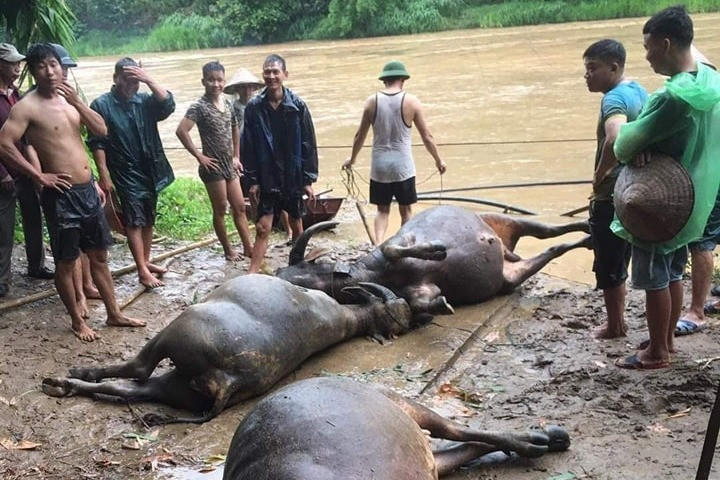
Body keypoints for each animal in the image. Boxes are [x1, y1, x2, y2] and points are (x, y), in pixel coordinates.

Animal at [40, 274, 410, 424]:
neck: (344, 317)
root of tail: (228, 380)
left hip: (175, 331)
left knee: (138, 369)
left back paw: (66, 378)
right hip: (176, 389)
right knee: (131, 387)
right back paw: (65, 386)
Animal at [222, 376, 572, 478]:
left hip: (404, 404)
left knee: (459, 430)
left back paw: (548, 438)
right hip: (423, 456)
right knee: (462, 448)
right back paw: (544, 440)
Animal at [278, 205, 592, 316]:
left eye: (301, 271)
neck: (377, 273)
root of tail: (504, 248)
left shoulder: (401, 239)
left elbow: (393, 248)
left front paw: (438, 249)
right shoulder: (420, 289)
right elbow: (422, 302)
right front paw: (443, 304)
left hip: (504, 219)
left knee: (547, 230)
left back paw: (586, 226)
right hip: (512, 275)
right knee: (554, 248)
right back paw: (587, 238)